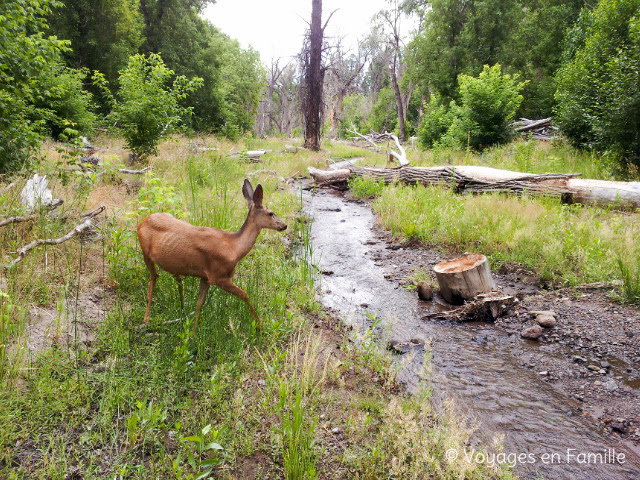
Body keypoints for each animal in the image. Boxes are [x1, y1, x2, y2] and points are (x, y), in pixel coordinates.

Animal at [138, 178, 288, 332]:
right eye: (271, 213)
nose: (284, 225)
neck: (234, 247)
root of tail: (143, 220)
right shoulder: (218, 276)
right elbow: (245, 295)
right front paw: (258, 325)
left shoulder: (205, 277)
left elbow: (199, 304)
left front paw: (193, 332)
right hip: (145, 252)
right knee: (154, 276)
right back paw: (146, 317)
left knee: (176, 279)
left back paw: (182, 308)